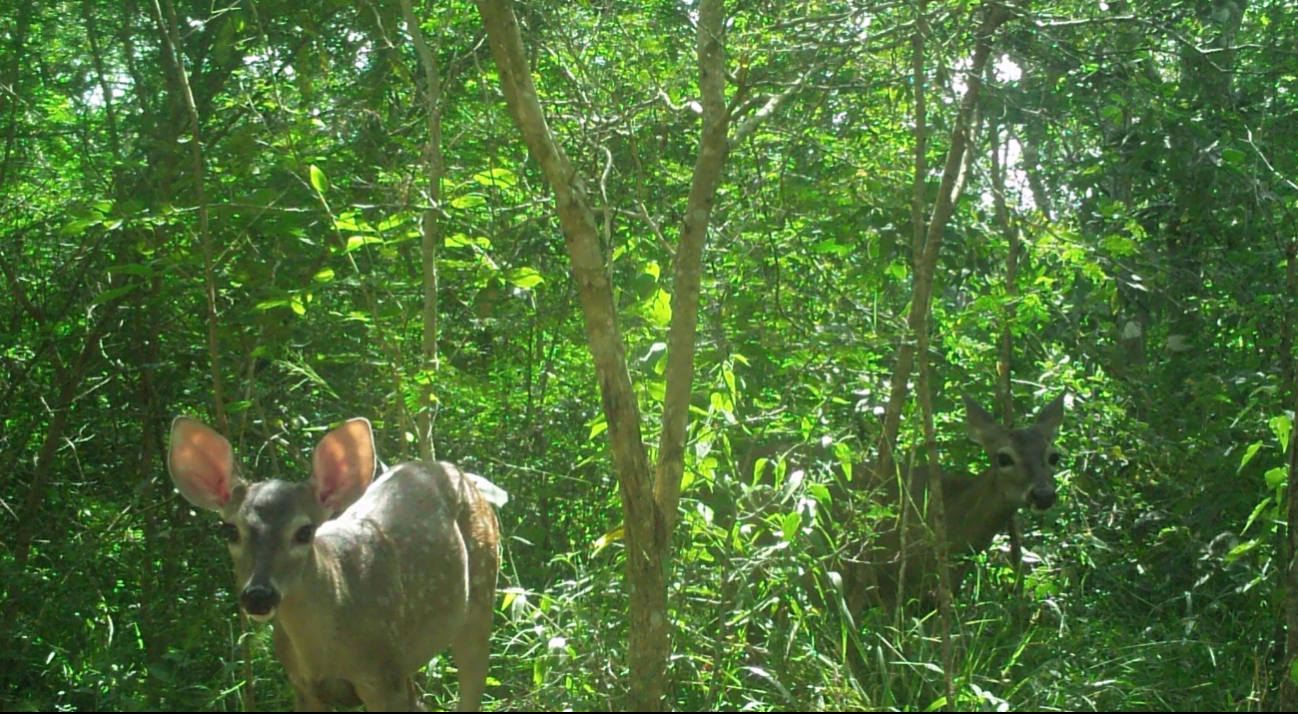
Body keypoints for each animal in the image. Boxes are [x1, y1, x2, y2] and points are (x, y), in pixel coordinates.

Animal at [164, 418, 498, 711]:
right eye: (231, 530)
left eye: (304, 531)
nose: (259, 595)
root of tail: (460, 474)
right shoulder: (303, 687)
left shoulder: (380, 677)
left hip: (480, 598)